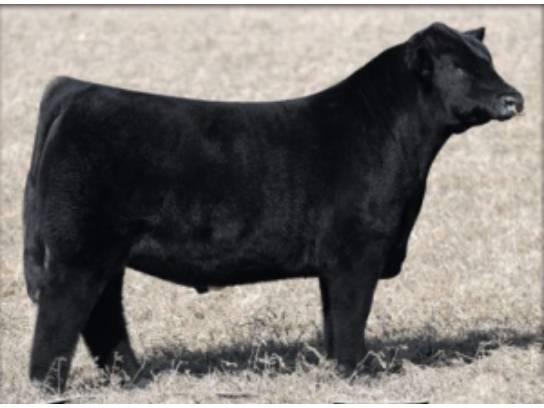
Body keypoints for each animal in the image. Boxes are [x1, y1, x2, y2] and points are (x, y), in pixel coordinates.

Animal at [23, 22, 523, 392]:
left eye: (489, 61)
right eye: (457, 68)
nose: (513, 98)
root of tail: (79, 90)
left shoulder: (335, 262)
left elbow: (334, 320)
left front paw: (336, 369)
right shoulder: (357, 253)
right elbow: (352, 316)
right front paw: (359, 374)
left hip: (105, 255)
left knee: (102, 315)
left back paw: (134, 377)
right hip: (79, 253)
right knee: (61, 315)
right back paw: (50, 387)